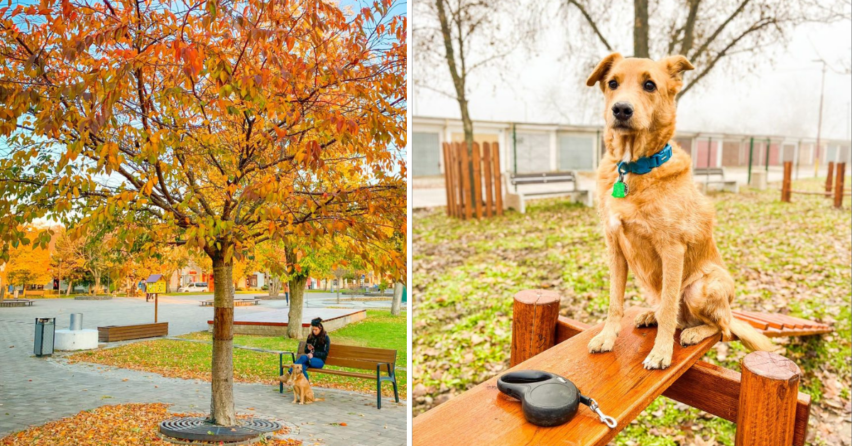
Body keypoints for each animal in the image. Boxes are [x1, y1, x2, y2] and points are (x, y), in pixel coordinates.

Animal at [584, 52, 776, 370]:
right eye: (612, 83)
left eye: (649, 85)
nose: (621, 109)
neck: (634, 168)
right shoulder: (615, 247)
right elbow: (615, 303)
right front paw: (607, 338)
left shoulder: (672, 250)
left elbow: (669, 309)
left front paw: (661, 353)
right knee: (673, 312)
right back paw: (651, 315)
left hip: (703, 287)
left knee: (721, 329)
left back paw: (695, 332)